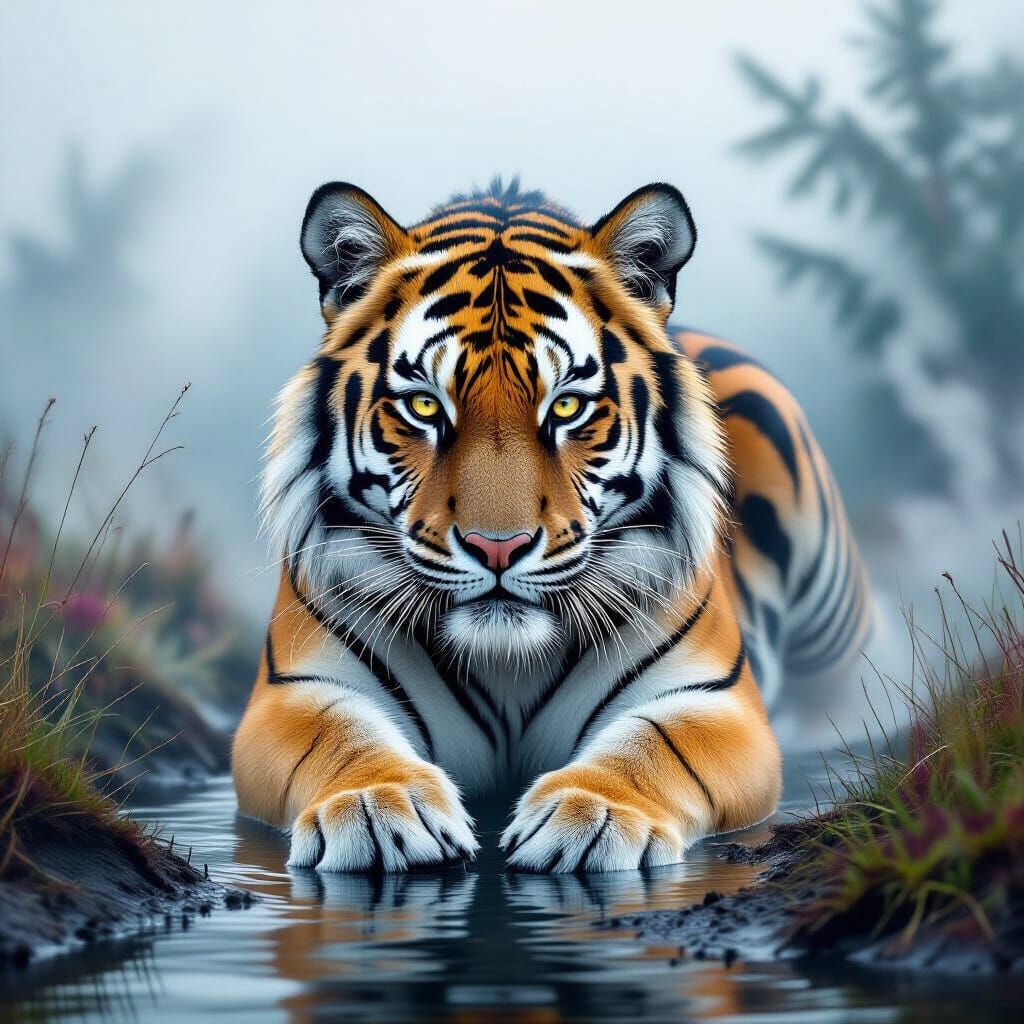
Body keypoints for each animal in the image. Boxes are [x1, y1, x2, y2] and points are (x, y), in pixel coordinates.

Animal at [232, 178, 872, 874]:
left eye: (565, 406)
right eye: (425, 404)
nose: (497, 548)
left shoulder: (711, 699)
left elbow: (657, 744)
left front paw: (593, 815)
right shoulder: (295, 690)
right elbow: (338, 735)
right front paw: (379, 807)